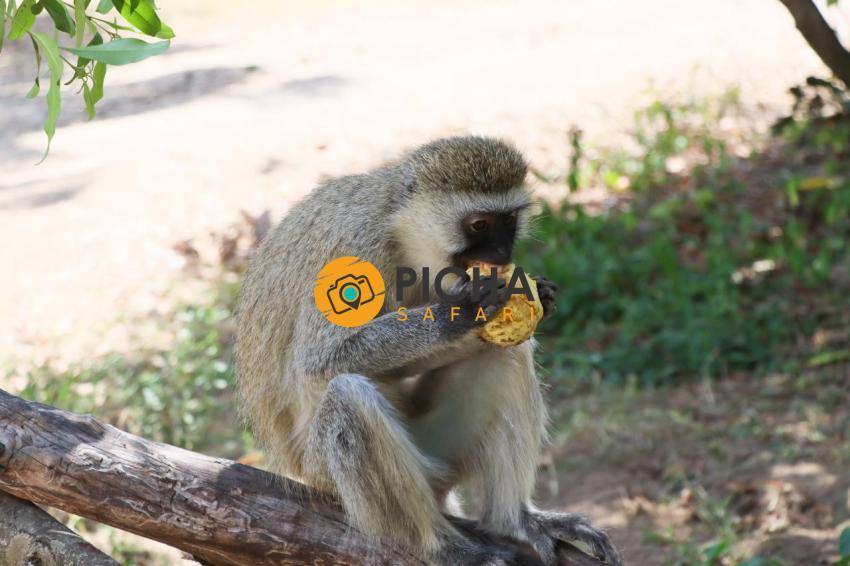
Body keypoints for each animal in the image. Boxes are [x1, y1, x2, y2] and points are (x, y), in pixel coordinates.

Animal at [236, 136, 622, 565]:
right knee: (347, 398)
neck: (400, 233)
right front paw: (464, 311)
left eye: (509, 221)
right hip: (322, 474)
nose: (503, 255)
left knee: (507, 354)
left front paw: (539, 295)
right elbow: (319, 361)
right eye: (479, 225)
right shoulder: (352, 247)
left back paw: (515, 520)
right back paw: (441, 546)